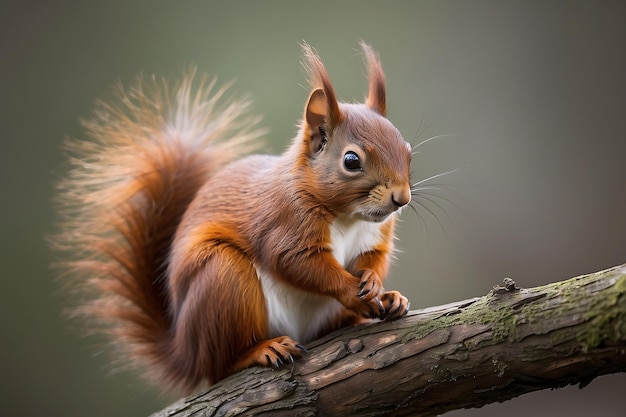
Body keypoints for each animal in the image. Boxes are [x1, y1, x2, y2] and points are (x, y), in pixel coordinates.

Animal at [57, 42, 410, 394]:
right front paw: (352, 290)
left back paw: (388, 301)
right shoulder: (285, 223)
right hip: (223, 279)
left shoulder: (375, 236)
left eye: (407, 150)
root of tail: (185, 352)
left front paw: (375, 283)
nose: (402, 198)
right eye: (351, 160)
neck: (349, 218)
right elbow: (296, 262)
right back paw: (262, 349)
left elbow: (375, 258)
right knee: (221, 365)